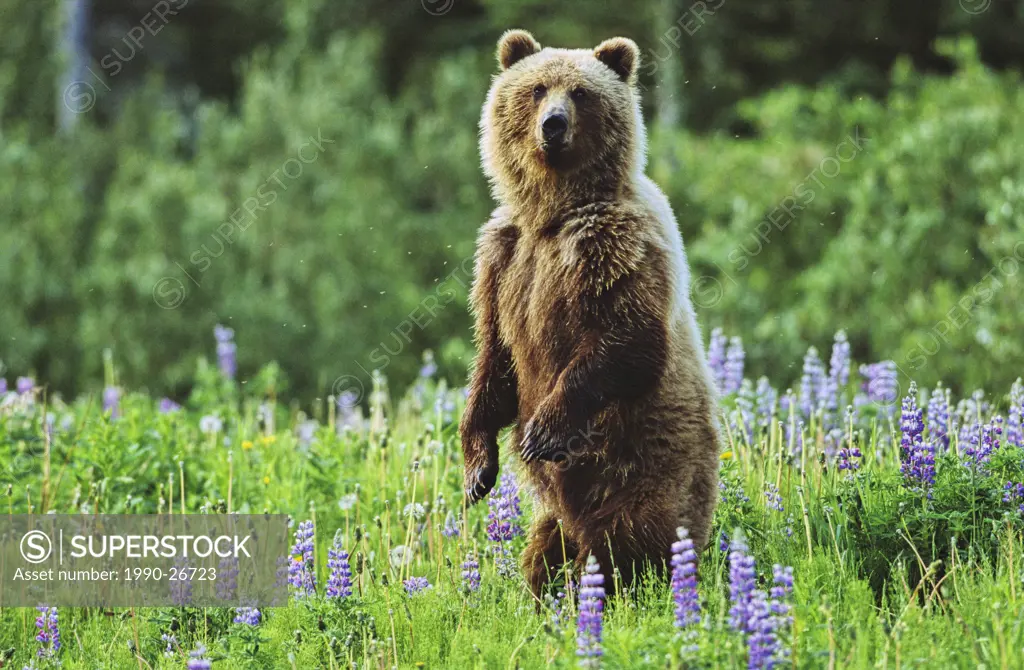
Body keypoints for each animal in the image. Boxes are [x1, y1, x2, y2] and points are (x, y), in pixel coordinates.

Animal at [460, 30, 716, 598]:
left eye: (580, 92)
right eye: (537, 88)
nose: (553, 124)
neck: (552, 214)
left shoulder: (615, 246)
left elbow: (629, 341)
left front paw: (541, 431)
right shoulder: (501, 260)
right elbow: (495, 361)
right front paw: (477, 470)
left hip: (642, 470)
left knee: (625, 539)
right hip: (560, 512)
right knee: (544, 548)